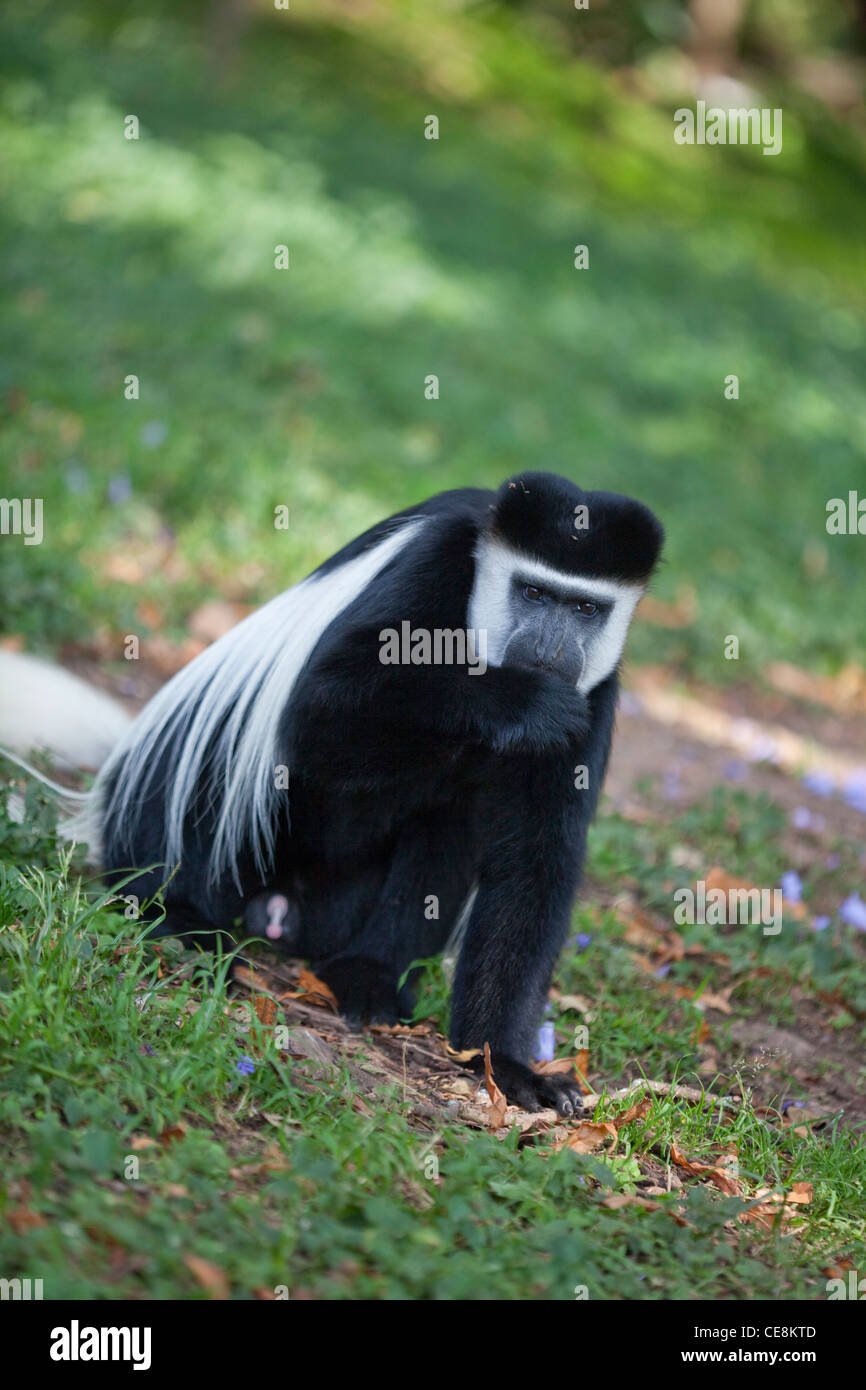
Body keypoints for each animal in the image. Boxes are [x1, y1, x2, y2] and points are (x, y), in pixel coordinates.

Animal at [72, 472, 664, 1112]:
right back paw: (180, 922)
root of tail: (279, 906)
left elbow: (535, 860)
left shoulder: (593, 696)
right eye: (533, 593)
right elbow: (322, 713)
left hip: (341, 905)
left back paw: (367, 976)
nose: (550, 652)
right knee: (222, 758)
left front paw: (507, 1067)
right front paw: (523, 701)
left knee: (447, 822)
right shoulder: (432, 562)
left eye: (585, 608)